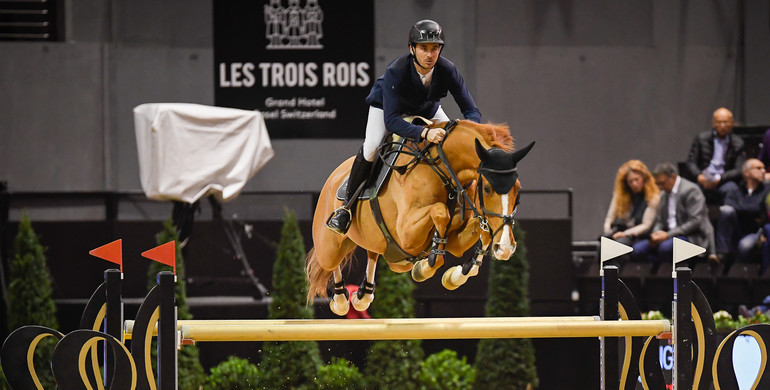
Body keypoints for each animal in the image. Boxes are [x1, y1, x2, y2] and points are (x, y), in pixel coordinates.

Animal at [306, 120, 536, 316]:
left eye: (518, 190)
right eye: (487, 189)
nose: (505, 248)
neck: (443, 172)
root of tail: (334, 176)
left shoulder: (455, 240)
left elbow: (479, 231)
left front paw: (454, 274)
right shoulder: (406, 234)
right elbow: (440, 211)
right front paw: (428, 265)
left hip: (392, 258)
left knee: (373, 253)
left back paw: (363, 296)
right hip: (329, 246)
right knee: (330, 262)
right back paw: (340, 300)